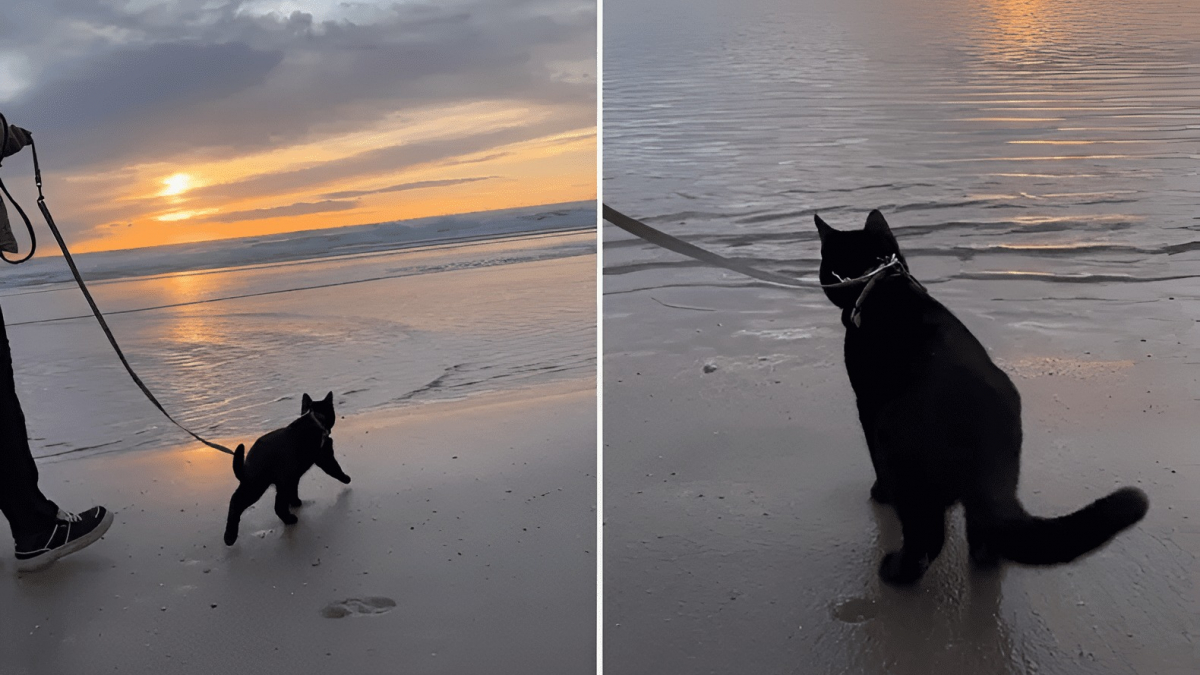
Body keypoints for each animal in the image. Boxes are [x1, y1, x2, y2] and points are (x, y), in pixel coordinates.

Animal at [224, 391, 350, 542]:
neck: (315, 419)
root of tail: (248, 461)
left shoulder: (293, 477)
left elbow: (294, 490)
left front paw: (295, 502)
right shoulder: (324, 457)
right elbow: (335, 469)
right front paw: (346, 478)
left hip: (265, 484)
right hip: (258, 486)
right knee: (252, 504)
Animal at [816, 210, 1142, 583]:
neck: (884, 287)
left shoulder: (866, 405)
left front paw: (879, 493)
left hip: (902, 459)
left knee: (927, 536)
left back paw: (896, 572)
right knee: (985, 533)